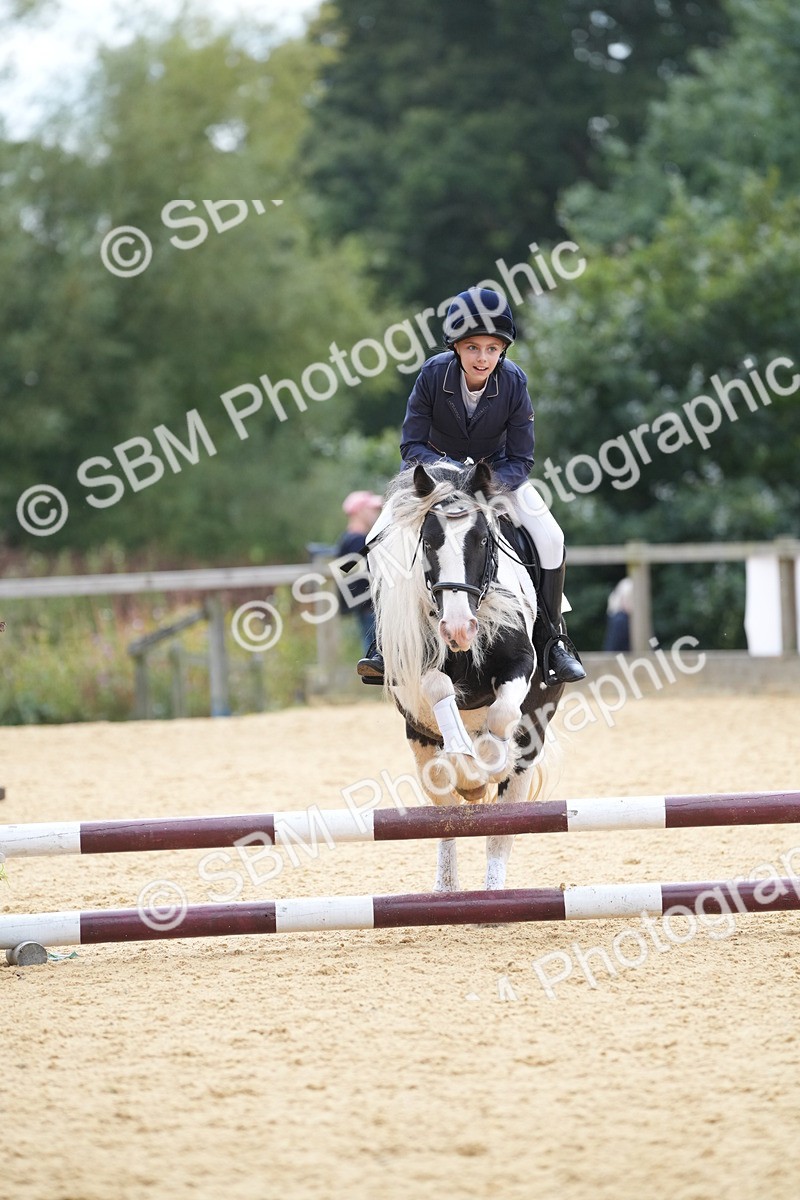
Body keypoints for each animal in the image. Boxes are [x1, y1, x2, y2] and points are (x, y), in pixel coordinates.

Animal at [370, 460, 565, 891]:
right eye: (428, 543)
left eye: (482, 540)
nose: (458, 629)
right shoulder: (418, 667)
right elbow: (439, 687)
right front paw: (469, 771)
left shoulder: (521, 663)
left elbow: (503, 717)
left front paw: (486, 765)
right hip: (420, 742)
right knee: (443, 811)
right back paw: (446, 887)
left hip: (532, 741)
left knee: (502, 825)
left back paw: (493, 894)